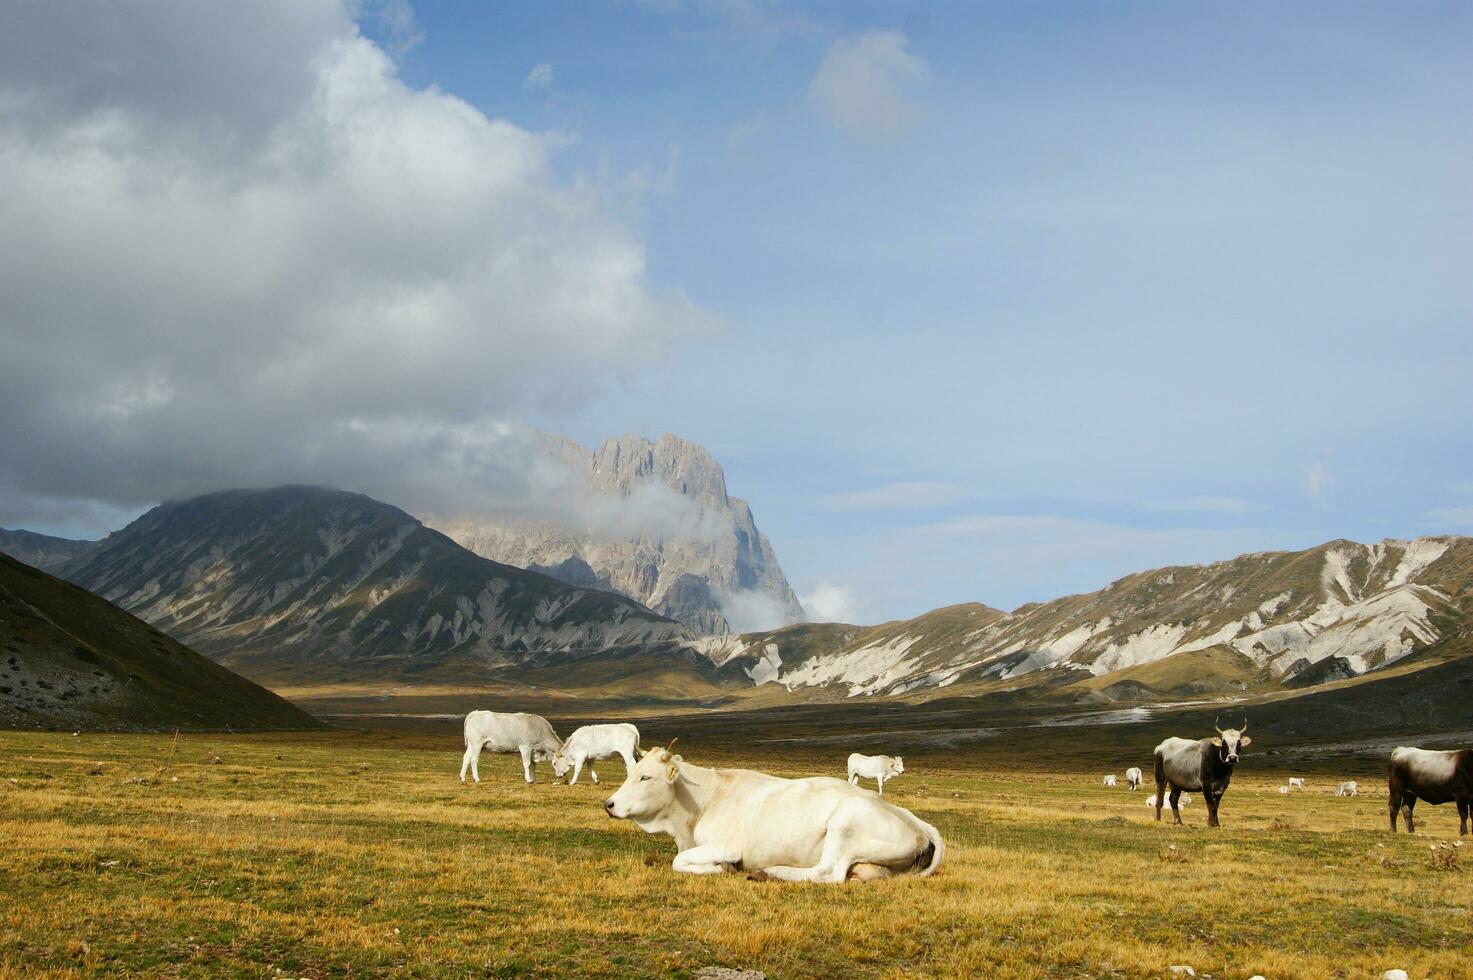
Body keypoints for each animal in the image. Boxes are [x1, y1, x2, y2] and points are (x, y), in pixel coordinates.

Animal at [606, 745, 942, 884]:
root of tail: (915, 821)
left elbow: (679, 862)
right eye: (630, 771)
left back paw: (769, 872)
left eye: (646, 777)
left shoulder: (726, 845)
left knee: (828, 873)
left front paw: (720, 869)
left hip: (843, 824)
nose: (609, 804)